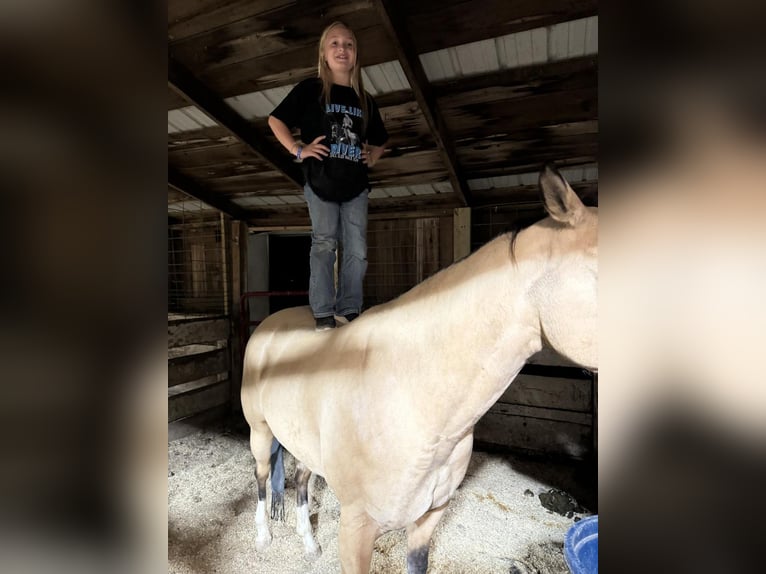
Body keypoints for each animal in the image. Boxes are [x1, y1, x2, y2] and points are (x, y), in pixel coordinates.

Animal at [240, 164, 600, 572]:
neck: (414, 399)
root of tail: (271, 324)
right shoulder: (355, 528)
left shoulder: (429, 517)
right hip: (260, 432)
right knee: (262, 476)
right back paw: (263, 537)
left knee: (301, 480)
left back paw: (309, 544)